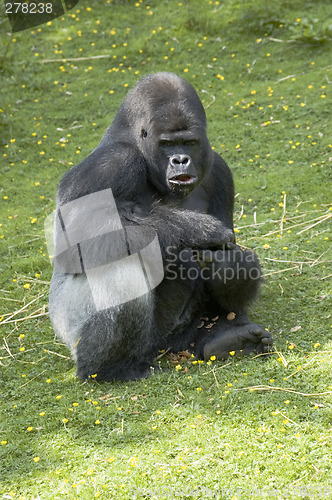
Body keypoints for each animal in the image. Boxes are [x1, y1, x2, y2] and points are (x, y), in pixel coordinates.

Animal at [49, 72, 272, 380]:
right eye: (167, 144)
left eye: (189, 142)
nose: (180, 159)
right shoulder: (112, 162)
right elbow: (77, 240)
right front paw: (197, 230)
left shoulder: (219, 170)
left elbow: (230, 250)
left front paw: (230, 263)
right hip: (73, 330)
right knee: (123, 267)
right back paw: (109, 368)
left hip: (181, 337)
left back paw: (225, 339)